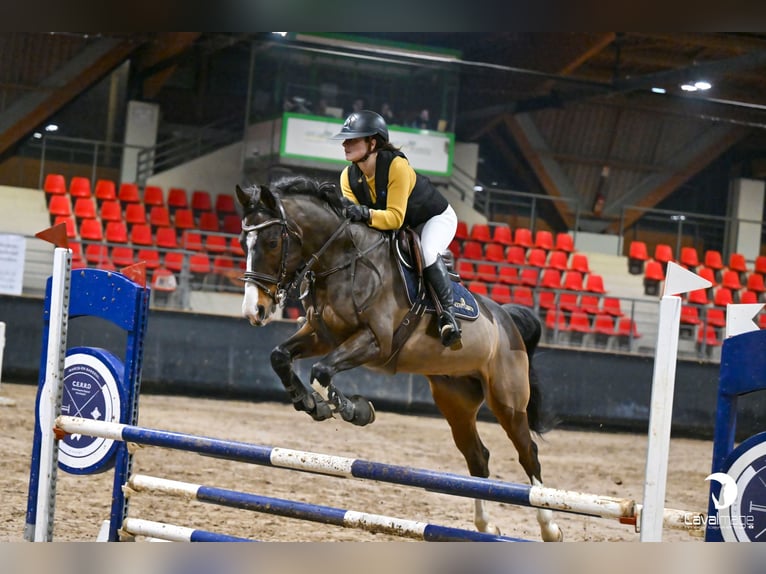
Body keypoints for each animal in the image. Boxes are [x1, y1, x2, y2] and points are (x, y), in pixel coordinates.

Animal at [235, 175, 562, 541]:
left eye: (272, 241)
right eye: (243, 242)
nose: (254, 310)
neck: (343, 260)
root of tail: (506, 318)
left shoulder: (376, 342)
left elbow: (322, 371)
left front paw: (352, 409)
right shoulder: (322, 336)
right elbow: (281, 357)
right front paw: (309, 402)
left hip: (507, 400)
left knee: (528, 454)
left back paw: (550, 528)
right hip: (456, 400)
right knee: (478, 458)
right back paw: (486, 526)